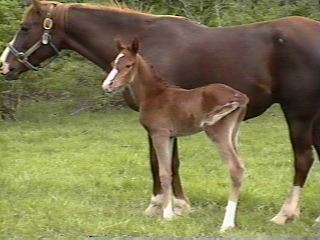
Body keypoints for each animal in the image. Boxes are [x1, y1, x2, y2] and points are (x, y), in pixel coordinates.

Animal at [101, 38, 249, 232]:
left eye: (128, 65)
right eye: (113, 63)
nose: (107, 86)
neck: (154, 94)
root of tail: (239, 96)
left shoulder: (159, 134)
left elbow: (164, 172)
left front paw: (167, 215)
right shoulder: (171, 136)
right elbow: (170, 168)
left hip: (218, 132)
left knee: (235, 168)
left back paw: (227, 224)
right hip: (234, 133)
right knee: (241, 167)